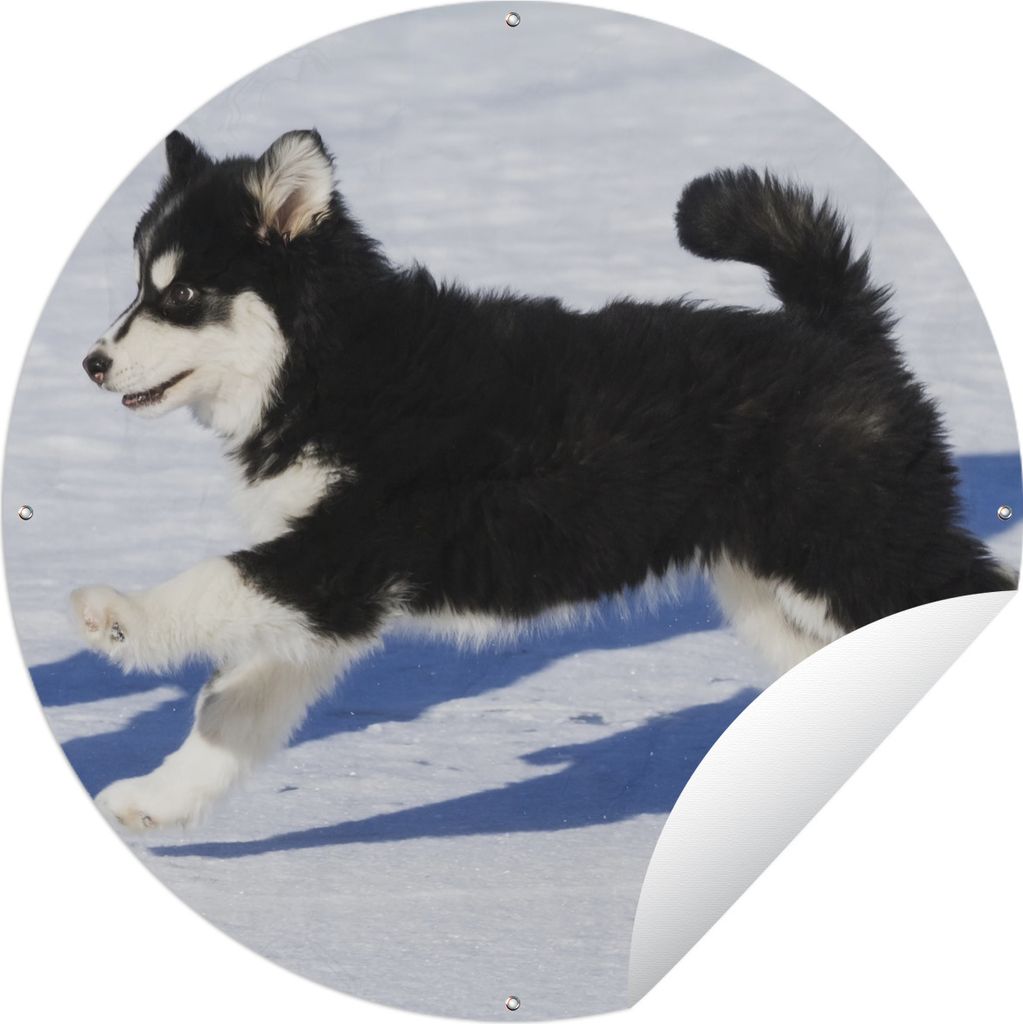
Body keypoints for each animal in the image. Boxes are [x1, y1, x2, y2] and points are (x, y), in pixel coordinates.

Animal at [73, 130, 1014, 829]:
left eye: (183, 294)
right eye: (140, 285)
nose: (91, 364)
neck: (328, 362)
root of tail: (837, 331)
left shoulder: (343, 555)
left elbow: (208, 584)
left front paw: (118, 617)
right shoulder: (327, 600)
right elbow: (229, 706)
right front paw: (156, 799)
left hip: (857, 551)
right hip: (773, 588)